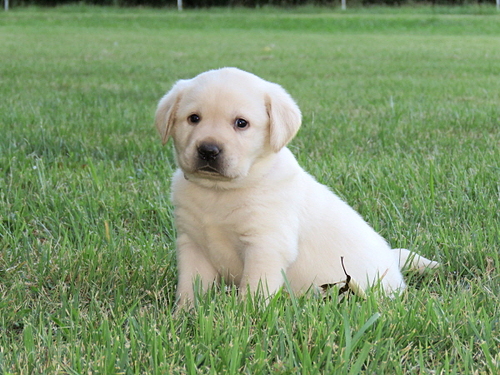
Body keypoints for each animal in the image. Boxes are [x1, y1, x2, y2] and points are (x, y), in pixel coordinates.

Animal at [155, 68, 438, 308]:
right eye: (193, 118)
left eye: (241, 123)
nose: (209, 150)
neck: (218, 192)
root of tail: (392, 260)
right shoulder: (192, 244)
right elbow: (190, 287)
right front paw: (184, 314)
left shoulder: (266, 245)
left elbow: (253, 291)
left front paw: (246, 319)